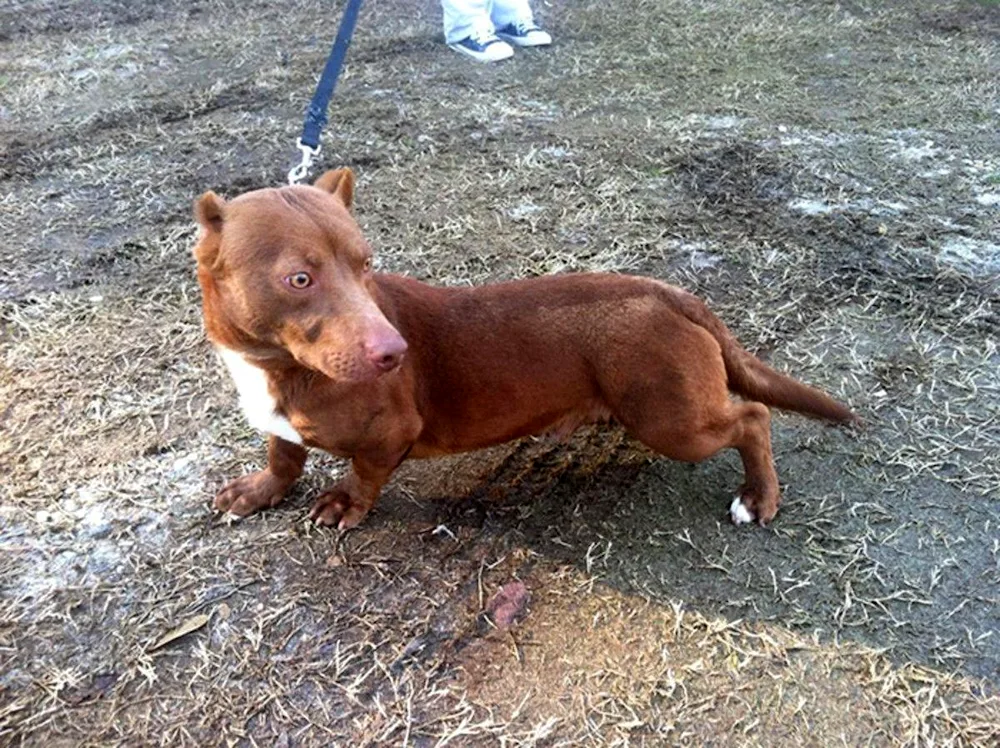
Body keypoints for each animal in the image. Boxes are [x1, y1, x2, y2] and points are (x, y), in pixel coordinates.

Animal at [195, 167, 860, 528]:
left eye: (365, 263)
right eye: (298, 279)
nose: (394, 353)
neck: (275, 368)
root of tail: (671, 293)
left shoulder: (390, 435)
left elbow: (363, 474)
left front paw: (342, 505)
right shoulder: (279, 425)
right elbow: (284, 456)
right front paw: (259, 490)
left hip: (672, 419)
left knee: (754, 416)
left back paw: (758, 497)